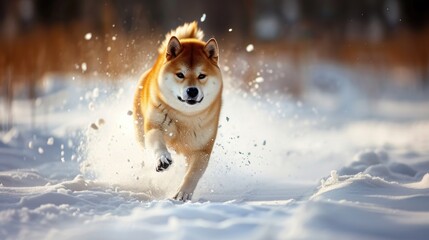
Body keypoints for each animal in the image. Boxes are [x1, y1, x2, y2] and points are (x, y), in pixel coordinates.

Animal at [132, 22, 222, 201]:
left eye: (202, 76)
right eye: (180, 74)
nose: (192, 91)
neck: (185, 117)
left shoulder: (202, 149)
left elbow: (193, 174)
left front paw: (183, 193)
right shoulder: (154, 126)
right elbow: (158, 143)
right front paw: (162, 159)